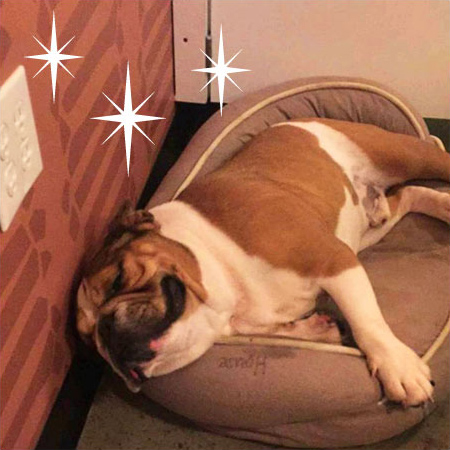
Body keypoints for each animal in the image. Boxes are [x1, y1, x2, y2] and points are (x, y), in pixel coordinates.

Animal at [77, 118, 450, 406]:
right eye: (89, 342)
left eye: (117, 279)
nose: (106, 333)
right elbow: (287, 331)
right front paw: (319, 329)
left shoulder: (333, 258)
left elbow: (366, 321)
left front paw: (397, 365)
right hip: (368, 231)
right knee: (410, 195)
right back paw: (433, 206)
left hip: (401, 155)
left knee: (434, 156)